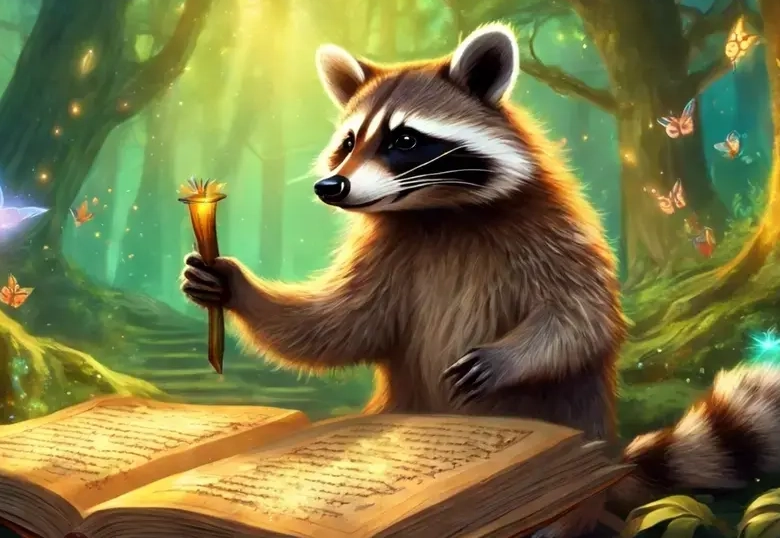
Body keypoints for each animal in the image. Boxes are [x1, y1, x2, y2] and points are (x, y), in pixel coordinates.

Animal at [181, 23, 780, 537]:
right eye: (349, 142)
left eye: (404, 139)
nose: (331, 187)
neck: (436, 211)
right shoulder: (388, 252)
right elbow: (343, 323)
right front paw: (232, 284)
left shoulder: (553, 226)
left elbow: (583, 315)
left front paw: (508, 355)